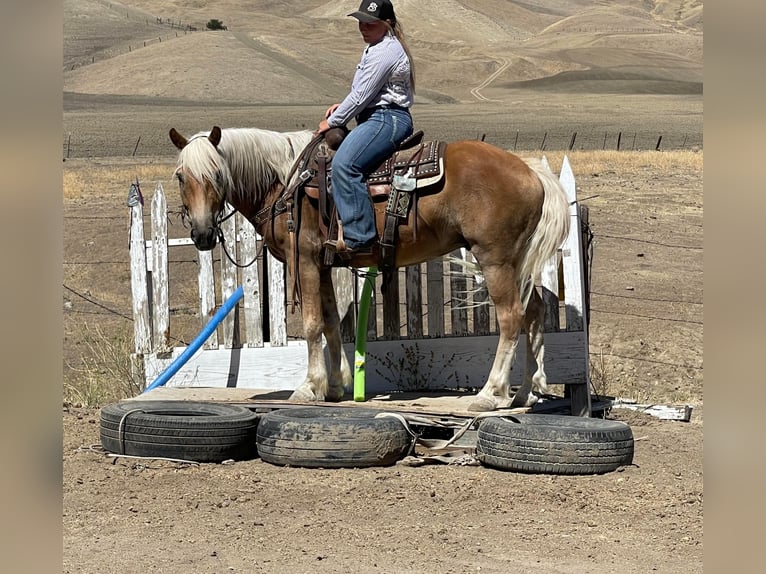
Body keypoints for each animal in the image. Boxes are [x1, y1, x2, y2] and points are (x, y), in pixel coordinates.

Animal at [171, 126, 572, 414]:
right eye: (180, 176)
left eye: (216, 174)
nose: (202, 234)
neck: (285, 182)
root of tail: (531, 171)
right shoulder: (323, 264)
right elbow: (331, 323)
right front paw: (335, 386)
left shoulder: (305, 260)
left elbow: (313, 325)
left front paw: (308, 387)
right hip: (517, 263)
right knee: (534, 312)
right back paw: (526, 393)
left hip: (495, 259)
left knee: (511, 318)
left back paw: (492, 393)